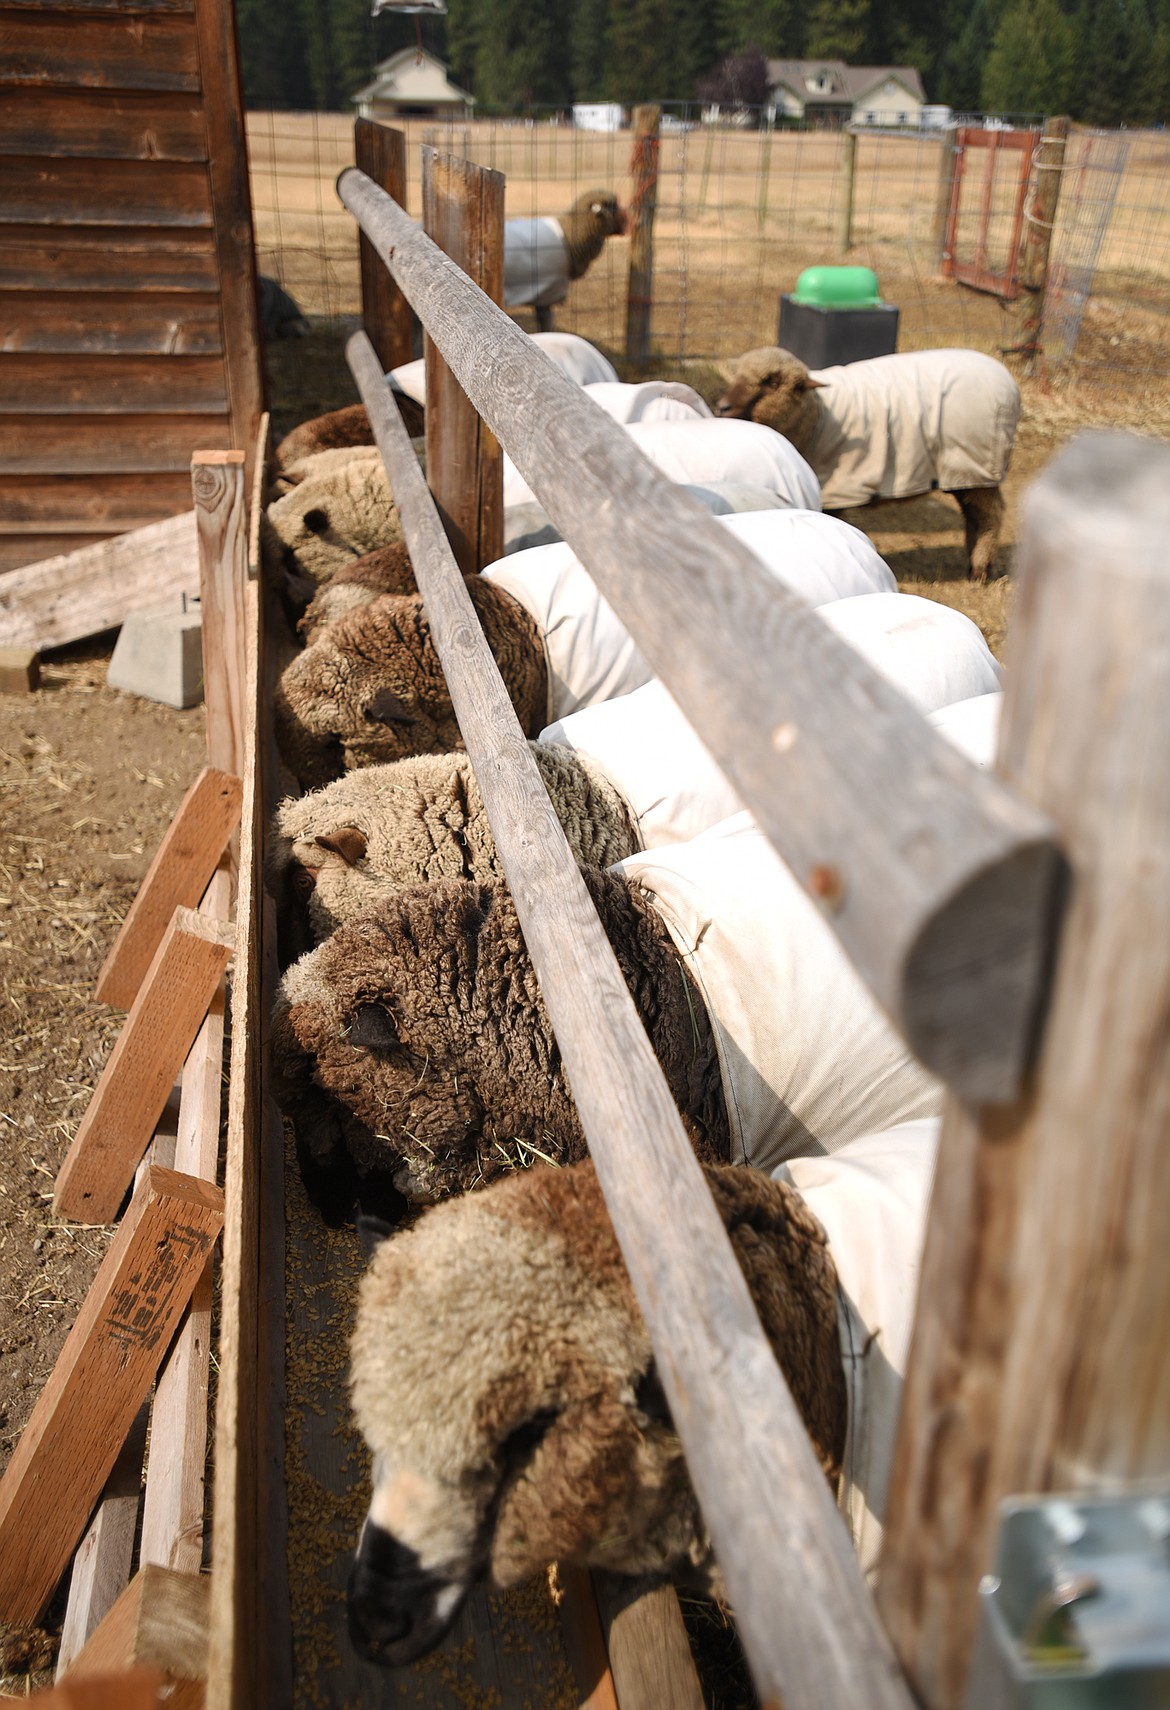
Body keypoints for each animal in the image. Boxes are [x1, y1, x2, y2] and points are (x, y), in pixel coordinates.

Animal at [714, 346, 1022, 580]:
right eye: (738, 375)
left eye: (772, 382)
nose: (722, 407)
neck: (816, 415)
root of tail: (1008, 381)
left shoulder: (837, 488)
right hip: (963, 473)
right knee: (974, 514)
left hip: (977, 464)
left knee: (991, 516)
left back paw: (980, 569)